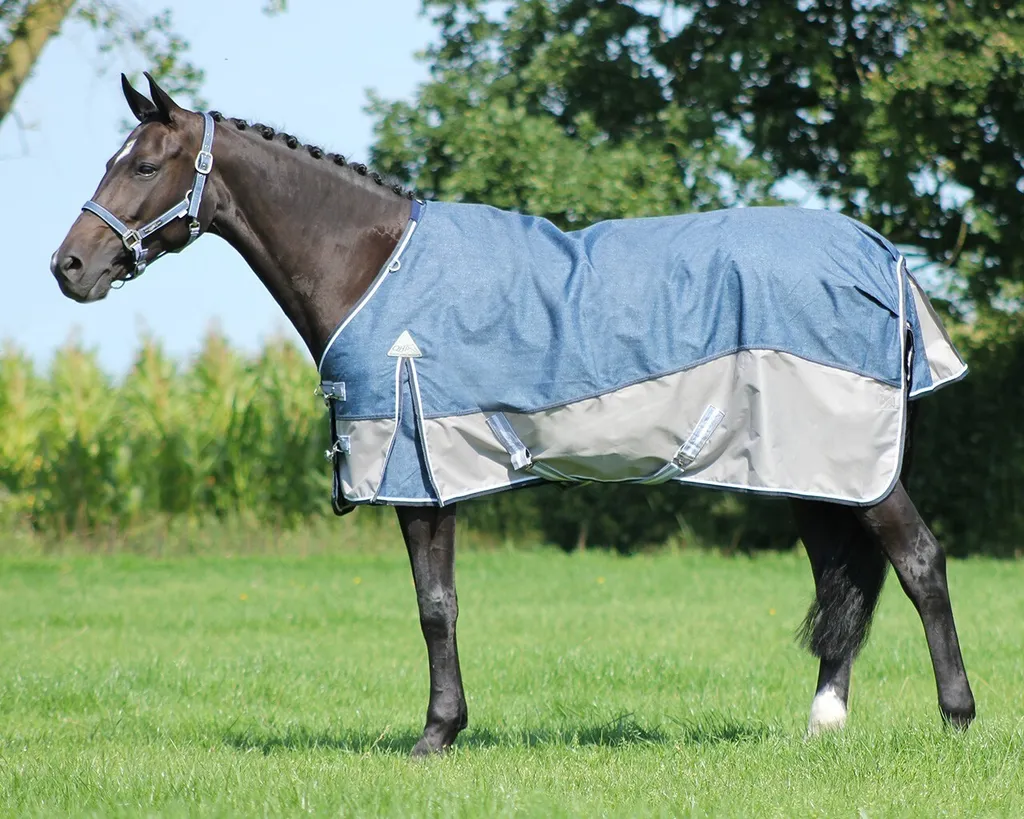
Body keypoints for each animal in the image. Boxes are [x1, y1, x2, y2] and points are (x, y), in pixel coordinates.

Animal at [50, 73, 976, 756]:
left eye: (143, 167)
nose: (69, 267)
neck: (372, 265)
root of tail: (882, 258)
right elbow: (442, 602)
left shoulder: (418, 473)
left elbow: (435, 605)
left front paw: (435, 734)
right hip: (809, 467)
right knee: (841, 580)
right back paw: (824, 725)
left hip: (850, 459)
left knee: (919, 560)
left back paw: (957, 716)